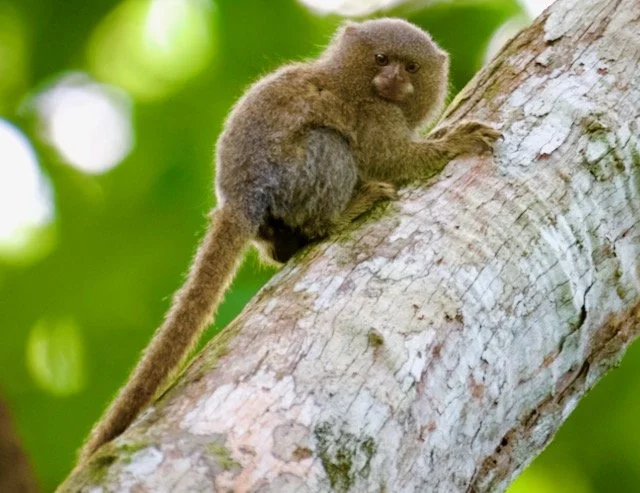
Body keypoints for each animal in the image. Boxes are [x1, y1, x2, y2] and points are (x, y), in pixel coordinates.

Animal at [76, 18, 500, 465]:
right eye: (382, 59)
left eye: (411, 67)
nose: (394, 79)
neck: (357, 84)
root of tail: (239, 200)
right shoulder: (372, 114)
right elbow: (391, 158)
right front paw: (452, 143)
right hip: (294, 177)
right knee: (330, 145)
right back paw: (340, 215)